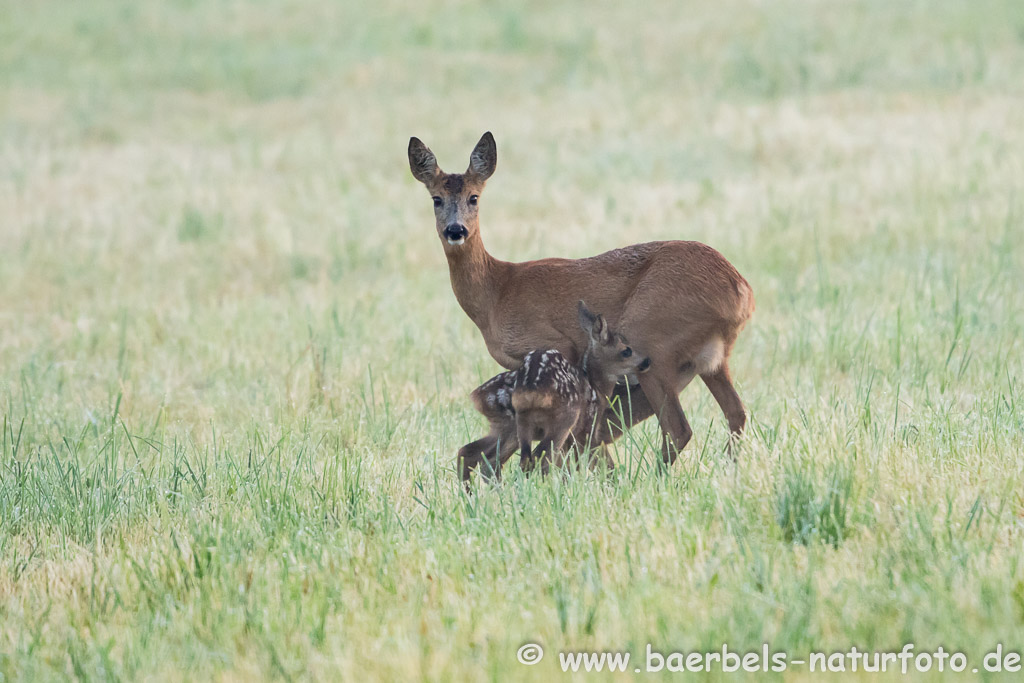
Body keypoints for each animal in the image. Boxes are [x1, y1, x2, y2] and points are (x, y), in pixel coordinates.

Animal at [464, 301, 647, 483]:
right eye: (626, 350)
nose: (647, 361)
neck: (596, 387)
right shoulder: (586, 429)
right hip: (560, 420)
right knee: (536, 458)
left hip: (516, 424)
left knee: (492, 457)